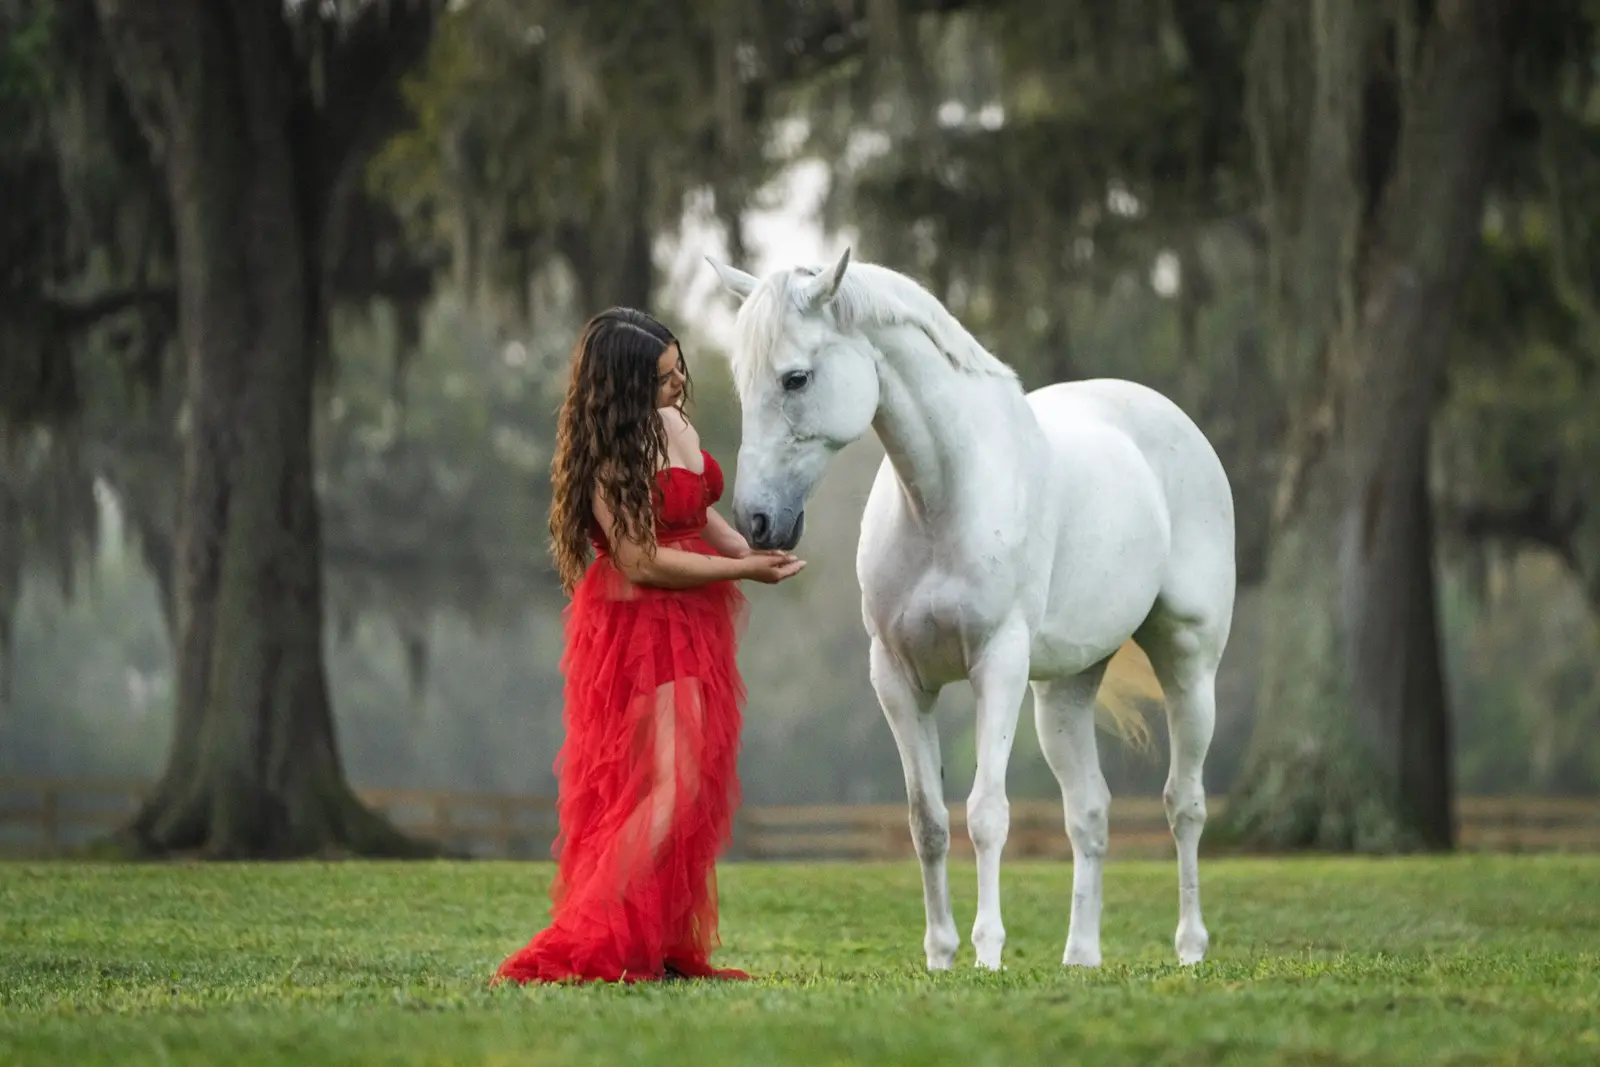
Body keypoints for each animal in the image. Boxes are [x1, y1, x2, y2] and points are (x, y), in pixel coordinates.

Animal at [707, 249, 1236, 972]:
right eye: (742, 382)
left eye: (795, 378)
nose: (758, 523)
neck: (944, 500)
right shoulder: (897, 678)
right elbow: (927, 820)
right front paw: (940, 954)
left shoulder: (998, 667)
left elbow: (987, 814)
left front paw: (988, 953)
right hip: (1065, 693)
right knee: (1089, 812)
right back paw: (1080, 956)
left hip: (1188, 666)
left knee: (1184, 804)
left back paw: (1190, 946)